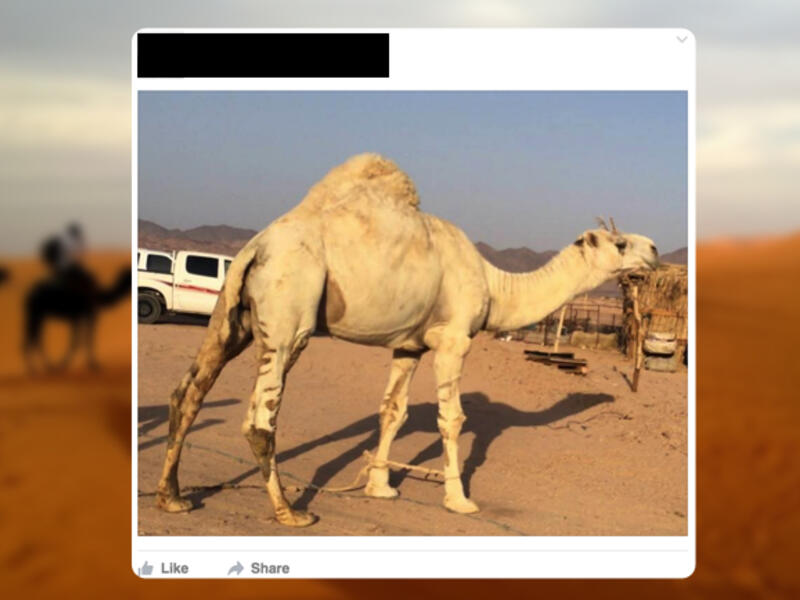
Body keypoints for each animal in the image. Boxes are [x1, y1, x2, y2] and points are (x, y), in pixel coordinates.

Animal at [155, 153, 659, 527]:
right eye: (619, 244)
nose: (654, 248)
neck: (495, 286)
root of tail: (255, 247)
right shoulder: (453, 340)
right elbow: (451, 419)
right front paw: (459, 499)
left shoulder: (410, 345)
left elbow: (392, 411)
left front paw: (380, 487)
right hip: (289, 313)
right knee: (260, 417)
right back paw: (289, 511)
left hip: (232, 317)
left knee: (188, 391)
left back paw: (172, 498)